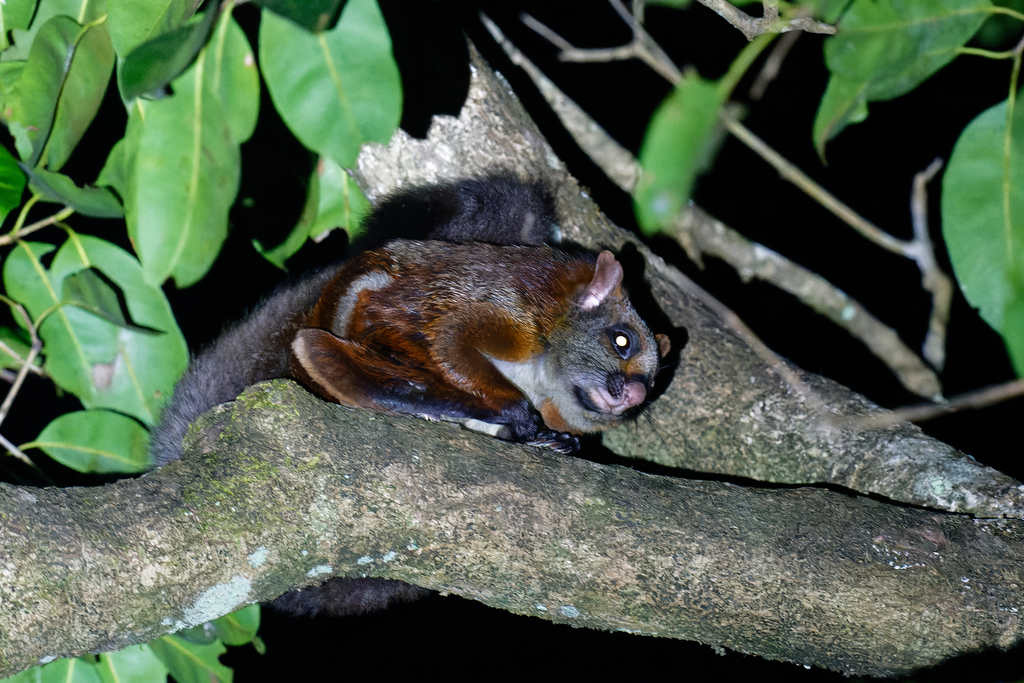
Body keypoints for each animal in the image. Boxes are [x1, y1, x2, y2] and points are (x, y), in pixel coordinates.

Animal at [150, 175, 670, 616]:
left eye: (651, 383)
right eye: (621, 340)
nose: (632, 394)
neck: (544, 375)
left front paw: (554, 438)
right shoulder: (514, 316)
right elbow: (452, 336)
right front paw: (517, 416)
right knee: (334, 344)